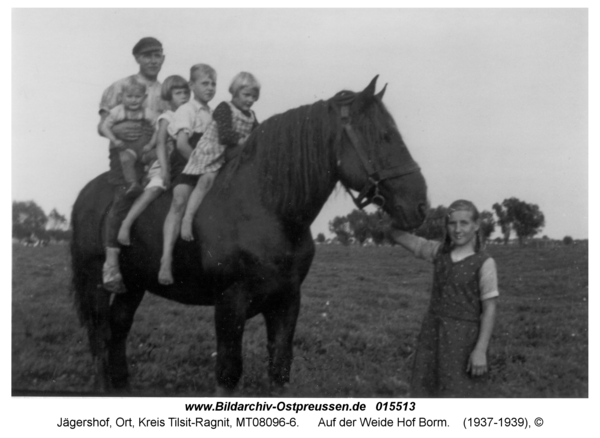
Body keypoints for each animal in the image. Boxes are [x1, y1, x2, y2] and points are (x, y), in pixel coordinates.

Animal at [71, 77, 426, 396]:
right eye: (384, 136)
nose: (420, 204)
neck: (266, 207)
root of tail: (88, 193)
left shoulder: (287, 301)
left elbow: (279, 368)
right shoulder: (230, 304)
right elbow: (228, 373)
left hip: (134, 285)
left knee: (118, 329)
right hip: (96, 283)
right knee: (100, 336)